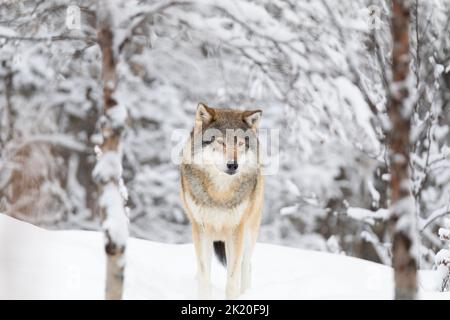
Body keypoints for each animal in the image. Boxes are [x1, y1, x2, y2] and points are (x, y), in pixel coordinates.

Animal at [179, 103, 264, 300]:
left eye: (240, 143)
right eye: (221, 142)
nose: (233, 165)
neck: (220, 193)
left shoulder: (236, 231)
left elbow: (232, 279)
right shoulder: (201, 229)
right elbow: (204, 275)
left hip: (249, 233)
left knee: (246, 266)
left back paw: (246, 293)